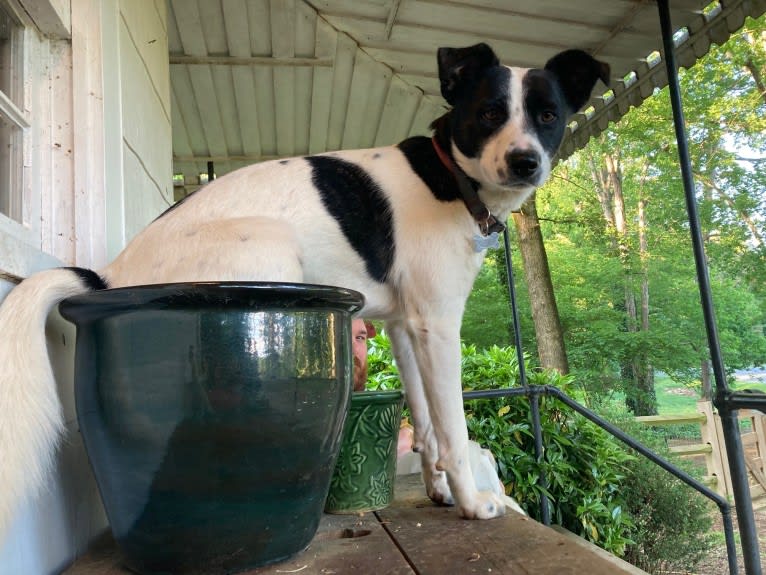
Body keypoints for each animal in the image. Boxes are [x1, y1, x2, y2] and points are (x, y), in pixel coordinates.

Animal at [0, 41, 612, 536]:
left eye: (549, 115)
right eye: (488, 113)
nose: (525, 162)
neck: (447, 176)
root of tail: (108, 275)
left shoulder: (406, 329)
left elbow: (428, 426)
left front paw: (438, 492)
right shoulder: (438, 327)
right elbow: (454, 430)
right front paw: (471, 503)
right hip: (271, 254)